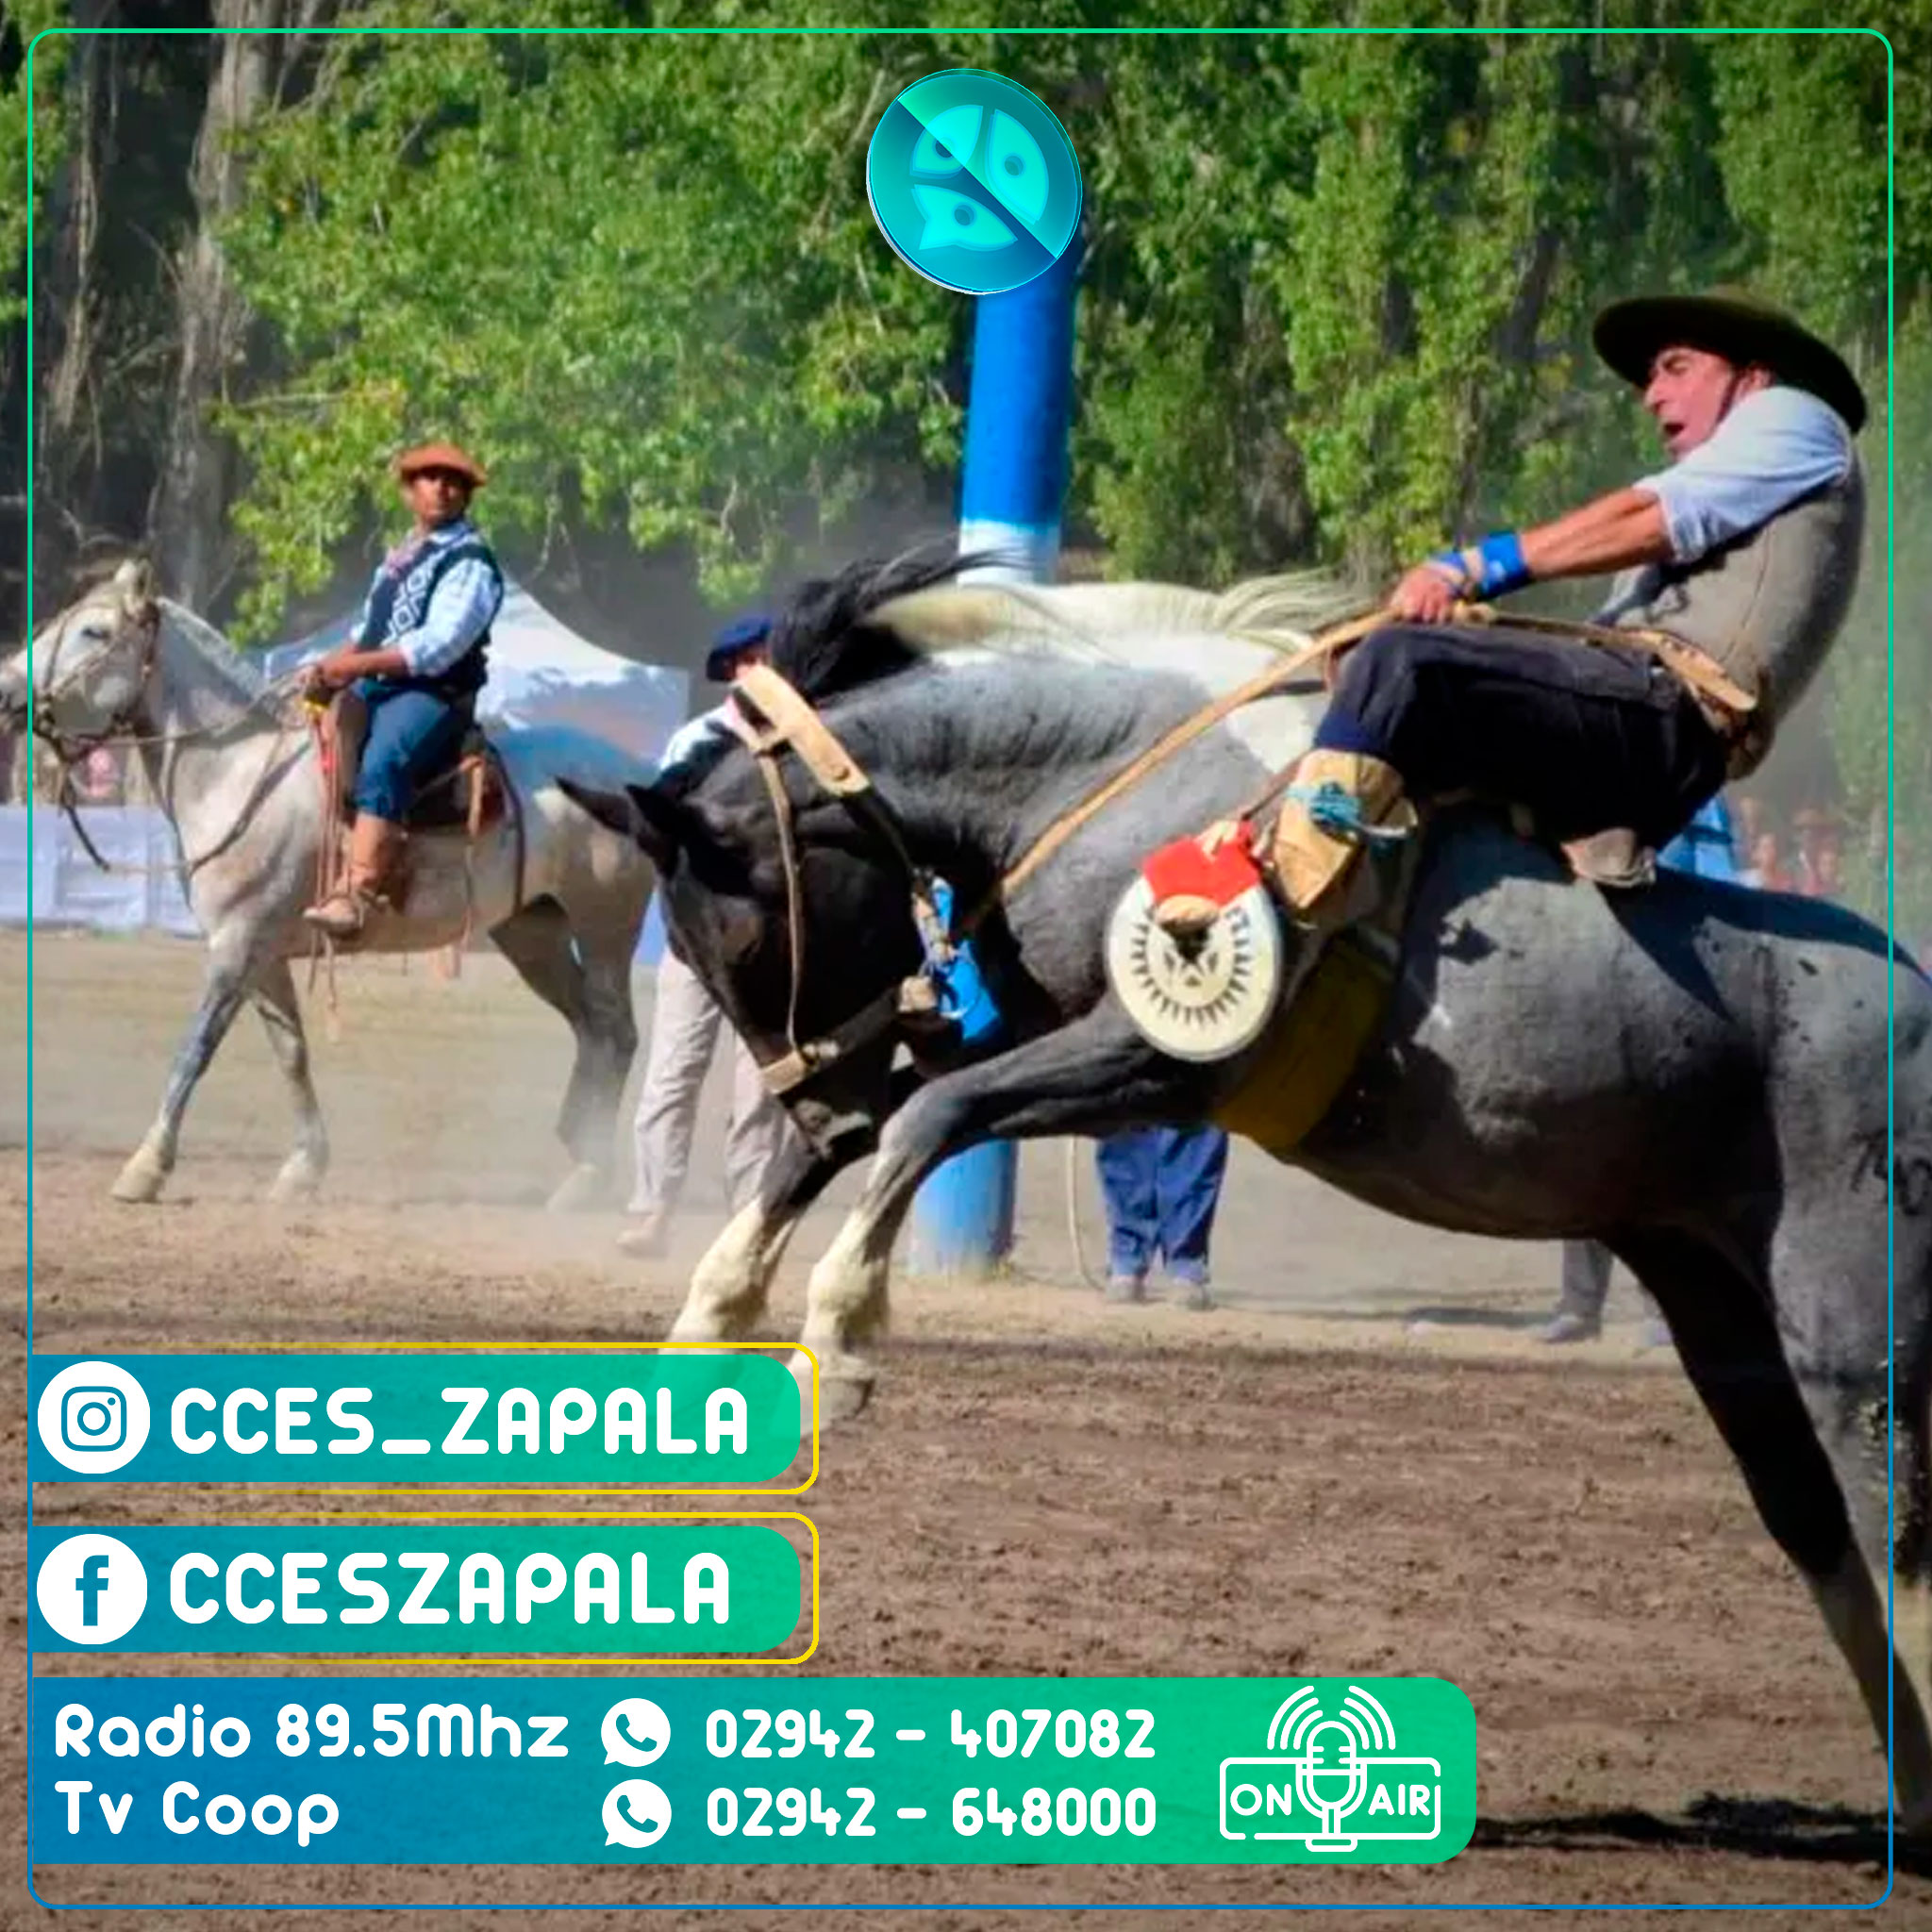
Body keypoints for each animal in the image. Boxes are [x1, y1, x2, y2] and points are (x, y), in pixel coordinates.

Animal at [1, 560, 654, 1209]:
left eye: (94, 632)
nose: (6, 689)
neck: (240, 771)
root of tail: (636, 774)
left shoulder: (235, 945)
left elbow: (195, 1049)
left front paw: (145, 1167)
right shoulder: (261, 953)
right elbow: (291, 1054)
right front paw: (304, 1167)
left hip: (605, 926)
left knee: (617, 1033)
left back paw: (588, 1174)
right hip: (534, 933)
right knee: (590, 1030)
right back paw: (580, 1147)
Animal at [560, 551, 1932, 1829]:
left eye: (736, 935)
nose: (808, 1094)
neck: (1109, 771)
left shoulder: (1157, 1060)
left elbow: (926, 1120)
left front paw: (841, 1333)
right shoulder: (1036, 1030)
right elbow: (868, 1136)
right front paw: (709, 1321)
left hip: (1847, 1332)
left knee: (1892, 1525)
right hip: (1716, 1308)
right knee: (1820, 1528)